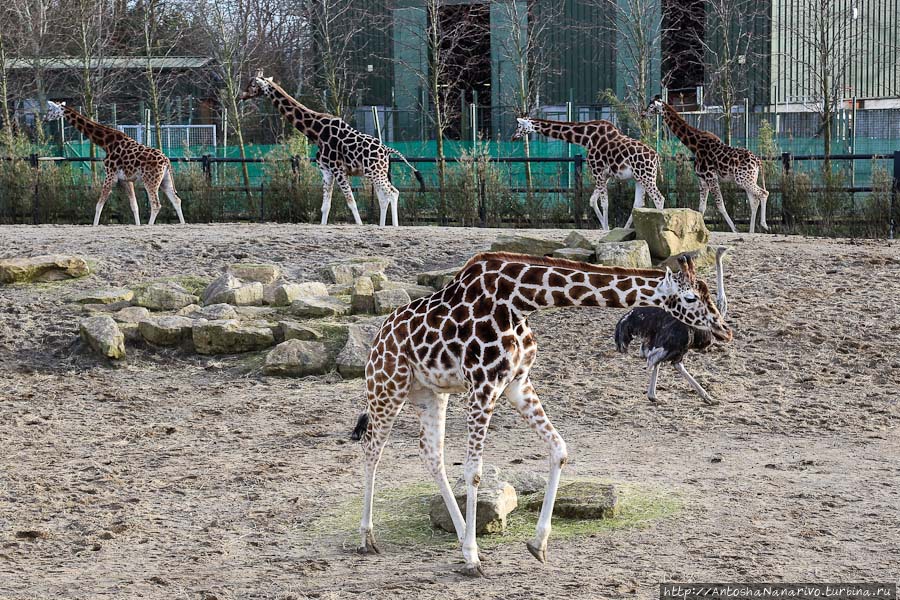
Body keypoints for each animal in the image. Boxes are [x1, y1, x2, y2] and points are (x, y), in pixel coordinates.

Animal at [42, 101, 185, 227]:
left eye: (50, 109)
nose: (44, 119)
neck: (106, 143)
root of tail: (166, 160)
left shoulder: (110, 175)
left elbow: (99, 205)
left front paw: (94, 226)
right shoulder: (126, 180)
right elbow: (134, 206)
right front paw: (138, 225)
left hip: (150, 180)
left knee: (156, 204)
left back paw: (150, 226)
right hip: (164, 180)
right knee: (176, 200)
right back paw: (183, 224)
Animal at [237, 71, 424, 226]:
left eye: (252, 84)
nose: (241, 95)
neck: (316, 133)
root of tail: (387, 150)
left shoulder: (338, 169)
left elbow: (351, 203)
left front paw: (360, 226)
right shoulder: (326, 170)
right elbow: (325, 206)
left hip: (376, 173)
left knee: (393, 193)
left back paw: (393, 227)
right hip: (375, 173)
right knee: (384, 198)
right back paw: (382, 226)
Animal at [352, 250, 732, 576]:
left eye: (707, 292)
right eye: (690, 298)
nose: (724, 330)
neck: (521, 301)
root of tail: (379, 335)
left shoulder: (517, 383)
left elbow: (559, 448)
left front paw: (537, 544)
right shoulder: (483, 384)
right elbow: (474, 473)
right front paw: (473, 560)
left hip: (431, 393)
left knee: (432, 455)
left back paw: (458, 535)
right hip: (387, 385)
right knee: (372, 447)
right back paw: (367, 539)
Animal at [510, 116, 664, 231]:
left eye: (519, 126)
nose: (512, 137)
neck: (586, 139)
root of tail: (656, 157)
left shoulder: (598, 171)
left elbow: (604, 203)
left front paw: (606, 229)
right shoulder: (605, 176)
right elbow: (592, 200)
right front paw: (606, 228)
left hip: (646, 176)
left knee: (659, 198)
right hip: (639, 178)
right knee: (638, 204)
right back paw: (625, 229)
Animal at [644, 95, 768, 233]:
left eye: (651, 106)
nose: (643, 113)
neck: (694, 145)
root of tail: (758, 161)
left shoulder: (711, 177)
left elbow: (720, 205)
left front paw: (735, 230)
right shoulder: (702, 179)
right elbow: (701, 208)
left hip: (743, 179)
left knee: (764, 193)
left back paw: (764, 225)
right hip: (748, 179)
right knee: (754, 201)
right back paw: (751, 231)